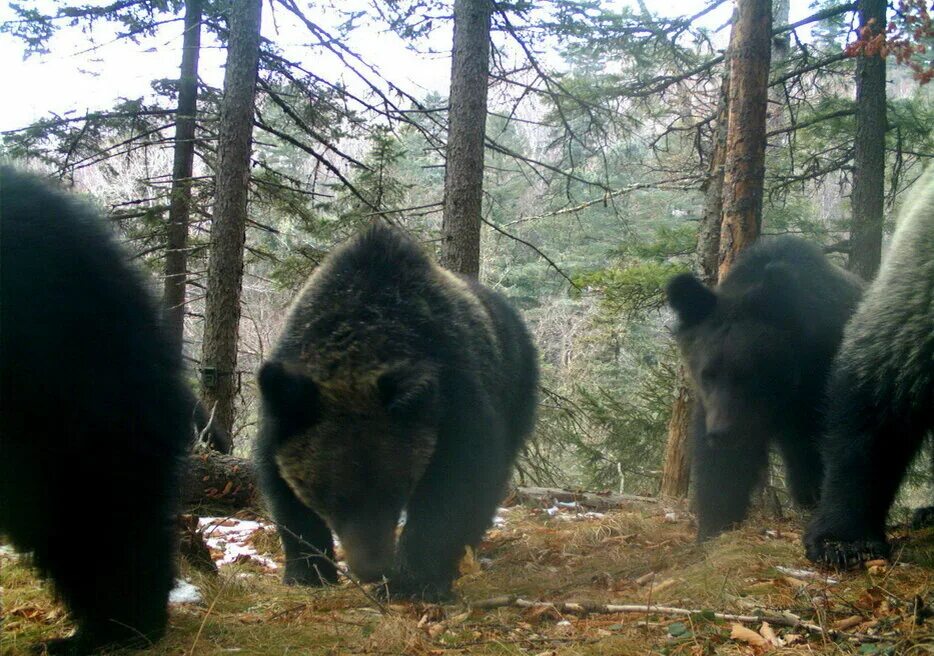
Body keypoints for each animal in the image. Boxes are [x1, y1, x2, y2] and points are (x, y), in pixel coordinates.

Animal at [256, 226, 540, 600]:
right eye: (332, 496)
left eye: (395, 488)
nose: (371, 568)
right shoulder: (285, 410)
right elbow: (283, 493)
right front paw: (308, 571)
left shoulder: (454, 399)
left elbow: (454, 484)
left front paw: (413, 580)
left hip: (516, 386)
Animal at [668, 238, 868, 540]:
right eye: (707, 375)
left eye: (747, 374)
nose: (722, 433)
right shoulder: (716, 407)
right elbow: (722, 470)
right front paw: (714, 527)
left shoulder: (817, 385)